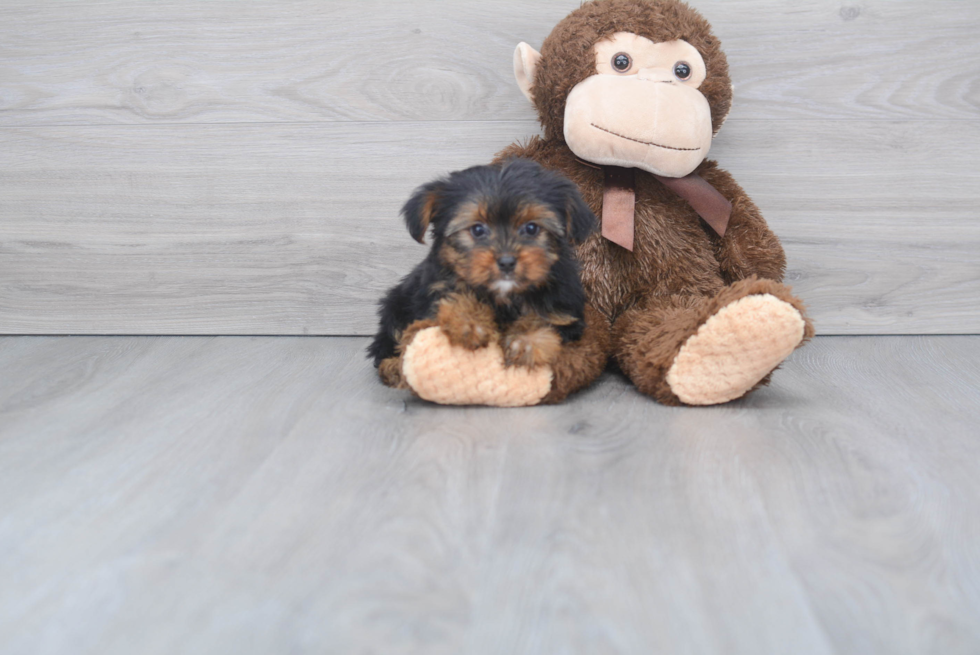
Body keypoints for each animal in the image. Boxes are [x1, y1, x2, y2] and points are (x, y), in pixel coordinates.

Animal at [368, 159, 596, 390]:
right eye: (477, 230)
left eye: (531, 228)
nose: (506, 262)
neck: (504, 297)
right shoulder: (437, 290)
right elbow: (453, 299)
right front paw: (470, 321)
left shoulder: (565, 314)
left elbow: (547, 323)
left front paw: (524, 340)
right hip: (396, 305)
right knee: (388, 342)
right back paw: (393, 367)